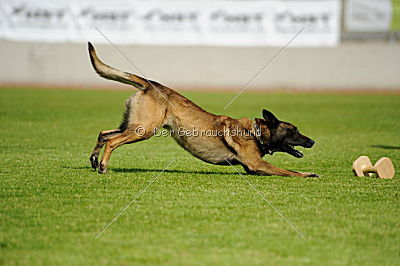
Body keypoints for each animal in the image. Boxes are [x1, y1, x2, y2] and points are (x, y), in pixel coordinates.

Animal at [88, 42, 318, 178]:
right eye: (294, 131)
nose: (312, 142)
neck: (256, 132)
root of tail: (151, 85)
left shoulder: (252, 168)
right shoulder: (256, 164)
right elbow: (289, 171)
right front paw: (308, 174)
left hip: (133, 126)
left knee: (103, 134)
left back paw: (93, 160)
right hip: (143, 130)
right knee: (111, 141)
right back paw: (103, 166)